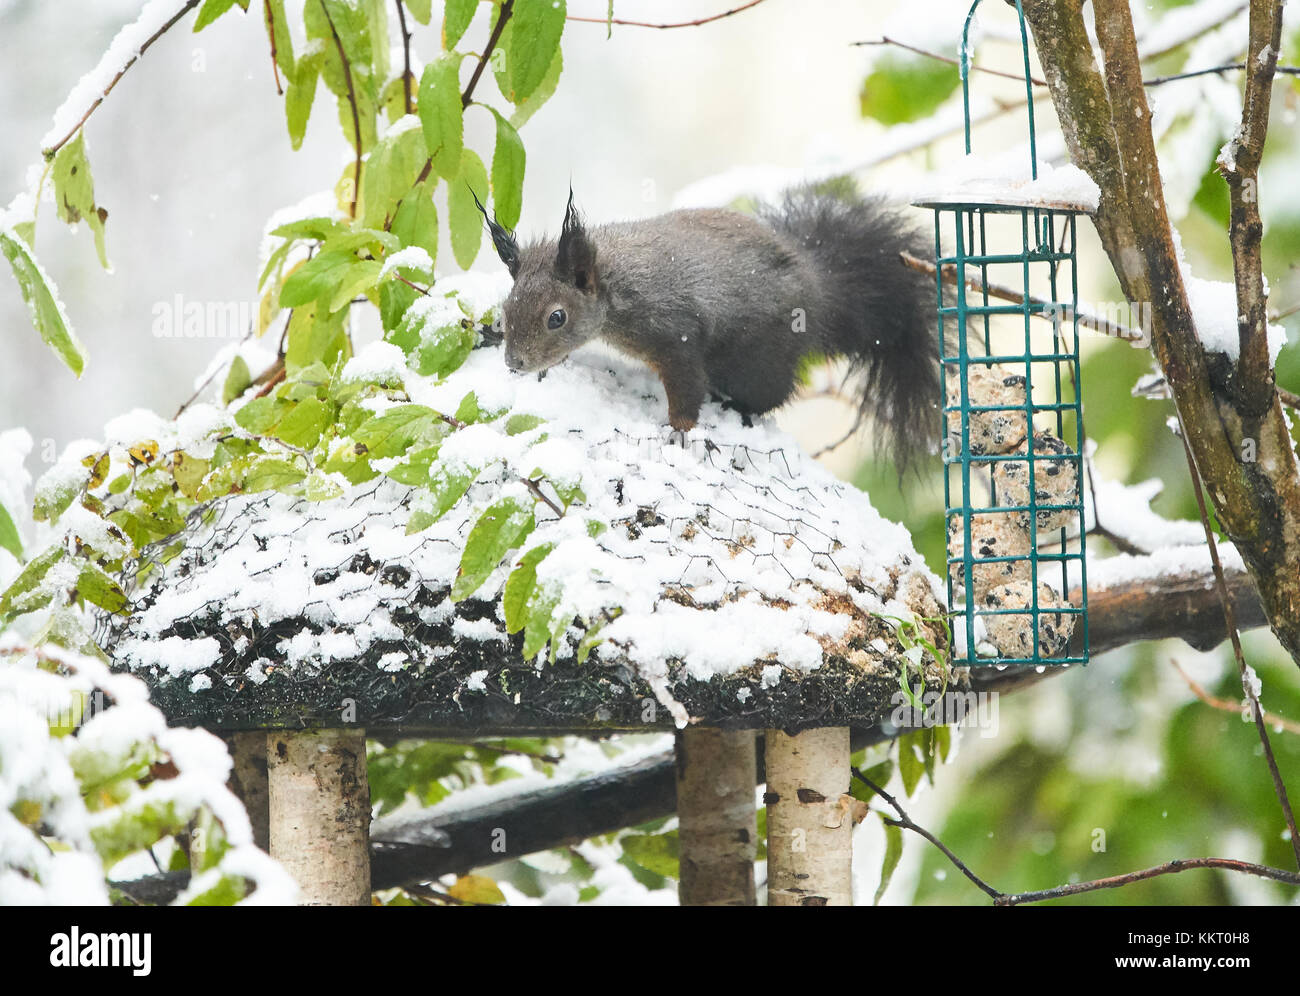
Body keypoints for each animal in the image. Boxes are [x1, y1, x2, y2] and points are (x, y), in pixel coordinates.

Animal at [473, 184, 941, 470]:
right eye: (508, 306)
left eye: (557, 317)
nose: (515, 362)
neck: (617, 283)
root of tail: (821, 291)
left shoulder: (676, 334)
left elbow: (687, 387)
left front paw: (679, 431)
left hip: (759, 360)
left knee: (771, 394)